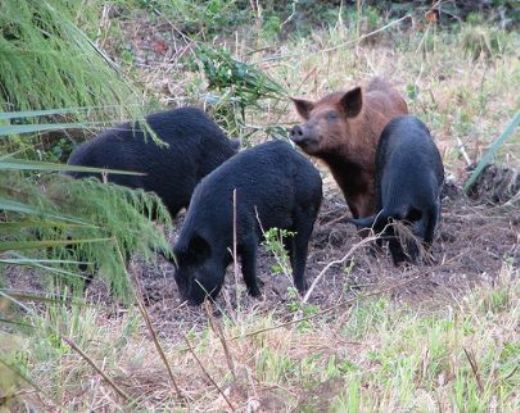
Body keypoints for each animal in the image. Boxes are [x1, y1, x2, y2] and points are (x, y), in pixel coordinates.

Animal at [173, 140, 322, 304]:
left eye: (195, 276)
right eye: (177, 278)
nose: (186, 303)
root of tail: (313, 169)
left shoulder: (249, 235)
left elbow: (247, 269)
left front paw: (258, 296)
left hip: (307, 211)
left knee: (301, 249)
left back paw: (301, 289)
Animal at [290, 78, 408, 219]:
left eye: (332, 115)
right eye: (310, 116)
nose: (296, 128)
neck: (345, 164)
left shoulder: (372, 179)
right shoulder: (344, 183)